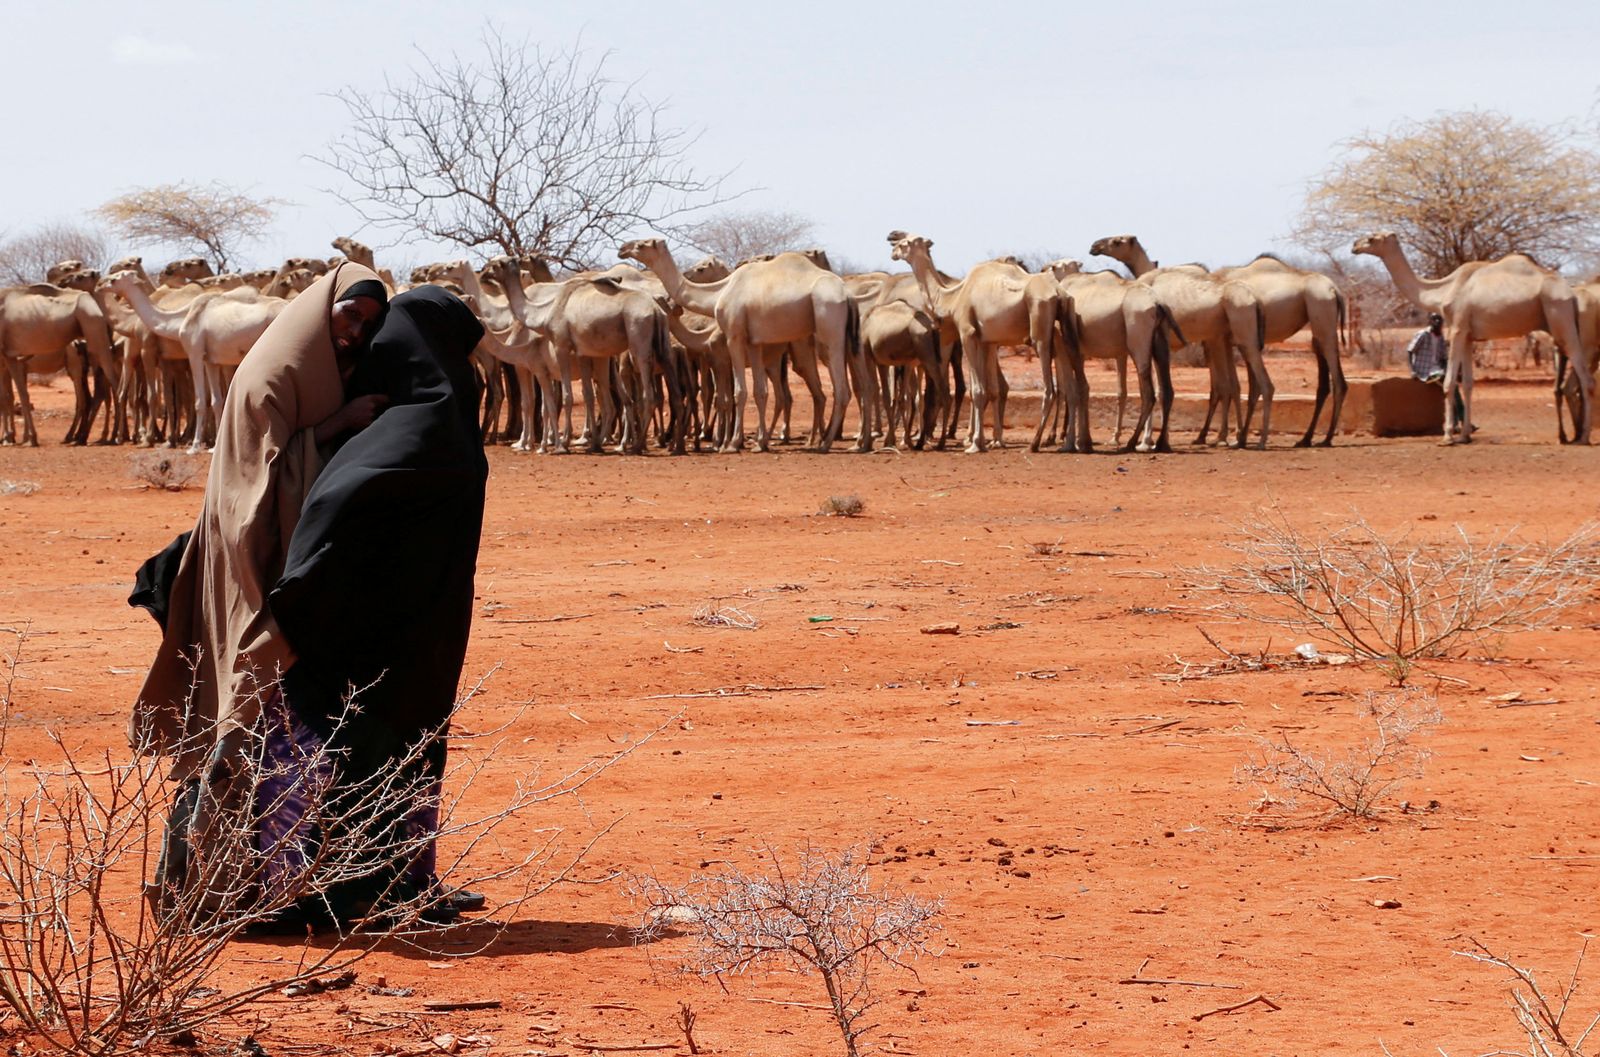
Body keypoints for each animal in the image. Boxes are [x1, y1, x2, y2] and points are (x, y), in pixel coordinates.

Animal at [0, 278, 116, 444]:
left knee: (97, 393)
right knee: (100, 393)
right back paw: (86, 436)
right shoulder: (9, 361)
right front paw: (16, 436)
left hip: (87, 352)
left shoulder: (10, 360)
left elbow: (11, 397)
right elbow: (13, 397)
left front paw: (15, 437)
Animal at [617, 236, 864, 450]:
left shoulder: (733, 336)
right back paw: (822, 440)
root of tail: (848, 295)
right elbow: (760, 391)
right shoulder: (753, 342)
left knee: (840, 388)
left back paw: (825, 443)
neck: (719, 292)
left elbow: (738, 392)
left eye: (642, 244)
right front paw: (759, 443)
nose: (622, 248)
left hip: (829, 323)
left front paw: (731, 443)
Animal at [889, 233, 1062, 450]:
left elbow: (978, 390)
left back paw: (1035, 443)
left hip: (1040, 335)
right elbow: (992, 390)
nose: (893, 250)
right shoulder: (987, 340)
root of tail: (1057, 293)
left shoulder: (967, 333)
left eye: (906, 243)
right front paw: (992, 441)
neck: (953, 297)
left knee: (1049, 389)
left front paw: (975, 444)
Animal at [1081, 235, 1267, 450]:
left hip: (1224, 338)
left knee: (1228, 385)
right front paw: (1156, 439)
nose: (1094, 246)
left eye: (1118, 241)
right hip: (1223, 338)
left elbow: (1159, 390)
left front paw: (1148, 441)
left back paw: (1230, 437)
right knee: (1231, 385)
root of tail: (1255, 299)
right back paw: (1225, 436)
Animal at [1350, 230, 1587, 441]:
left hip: (1560, 316)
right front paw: (1464, 435)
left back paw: (1583, 437)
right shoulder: (1468, 336)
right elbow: (1468, 384)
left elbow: (1449, 382)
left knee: (1585, 375)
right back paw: (1574, 435)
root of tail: (1572, 294)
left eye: (1372, 238)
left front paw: (1447, 436)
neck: (1441, 290)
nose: (1354, 246)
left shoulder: (1456, 329)